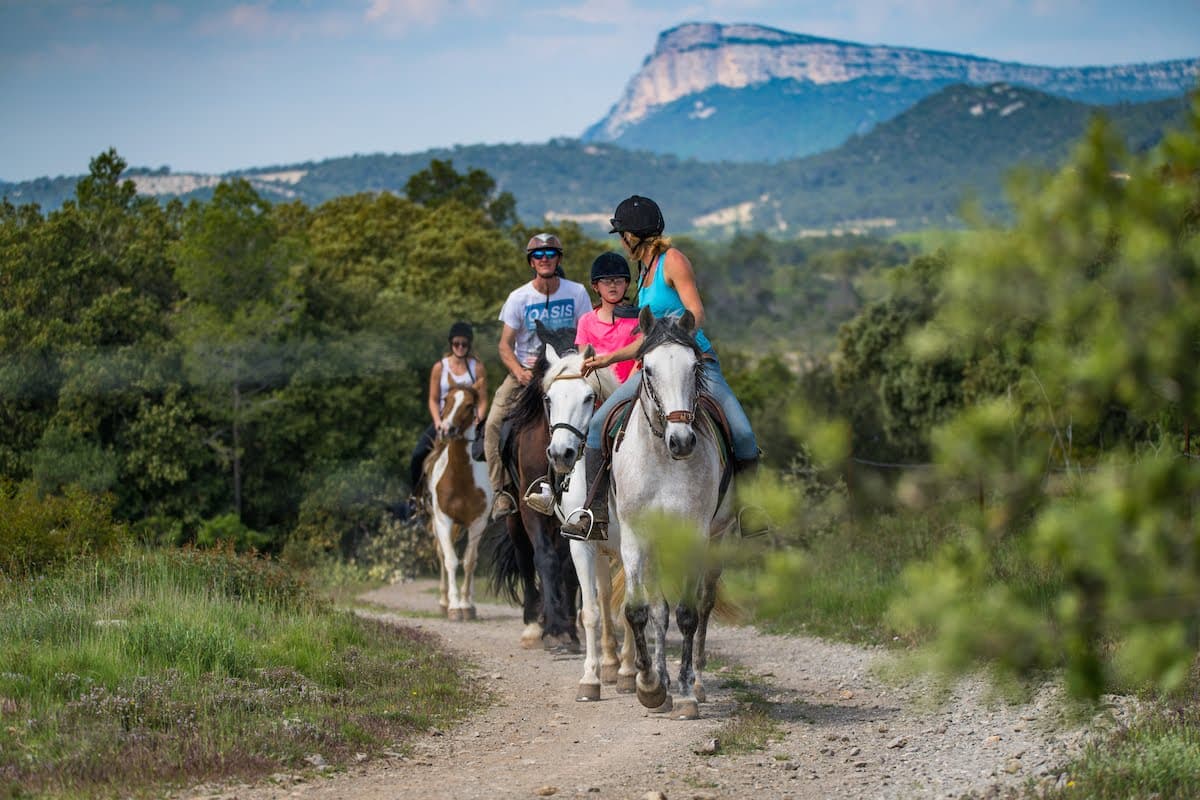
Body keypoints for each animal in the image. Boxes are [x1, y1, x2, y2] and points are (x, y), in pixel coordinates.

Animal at [424, 385, 492, 621]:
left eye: (470, 405)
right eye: (447, 400)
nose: (447, 429)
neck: (461, 478)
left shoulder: (478, 522)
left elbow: (469, 561)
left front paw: (465, 606)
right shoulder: (444, 520)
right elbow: (451, 560)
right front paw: (453, 607)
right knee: (442, 554)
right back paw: (444, 602)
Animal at [487, 323, 581, 652]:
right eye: (548, 397)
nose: (562, 452)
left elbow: (567, 566)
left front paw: (568, 628)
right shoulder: (531, 510)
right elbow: (543, 558)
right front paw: (553, 627)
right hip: (514, 519)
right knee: (525, 560)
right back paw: (532, 623)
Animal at [542, 341, 638, 701]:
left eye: (588, 397)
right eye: (549, 399)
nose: (561, 454)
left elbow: (630, 608)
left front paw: (629, 673)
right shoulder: (582, 547)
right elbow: (592, 612)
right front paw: (591, 678)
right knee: (604, 595)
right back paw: (609, 663)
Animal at [610, 307, 736, 720]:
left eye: (694, 367)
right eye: (647, 369)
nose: (682, 441)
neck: (663, 459)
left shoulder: (694, 537)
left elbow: (688, 614)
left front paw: (684, 694)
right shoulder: (635, 537)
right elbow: (641, 611)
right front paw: (650, 685)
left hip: (717, 541)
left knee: (704, 604)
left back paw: (695, 681)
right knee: (658, 610)